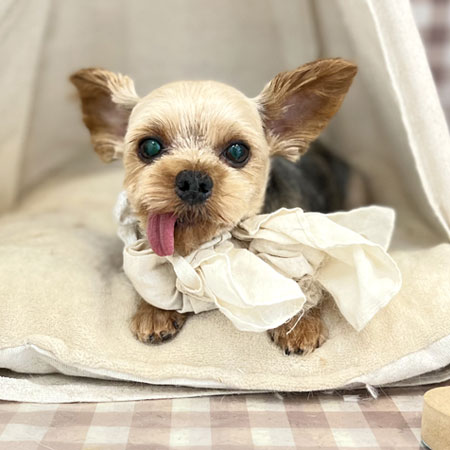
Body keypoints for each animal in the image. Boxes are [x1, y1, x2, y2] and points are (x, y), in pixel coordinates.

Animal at [71, 58, 361, 355]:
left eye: (237, 151)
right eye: (149, 147)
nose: (193, 180)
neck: (208, 245)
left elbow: (303, 285)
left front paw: (299, 325)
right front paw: (154, 312)